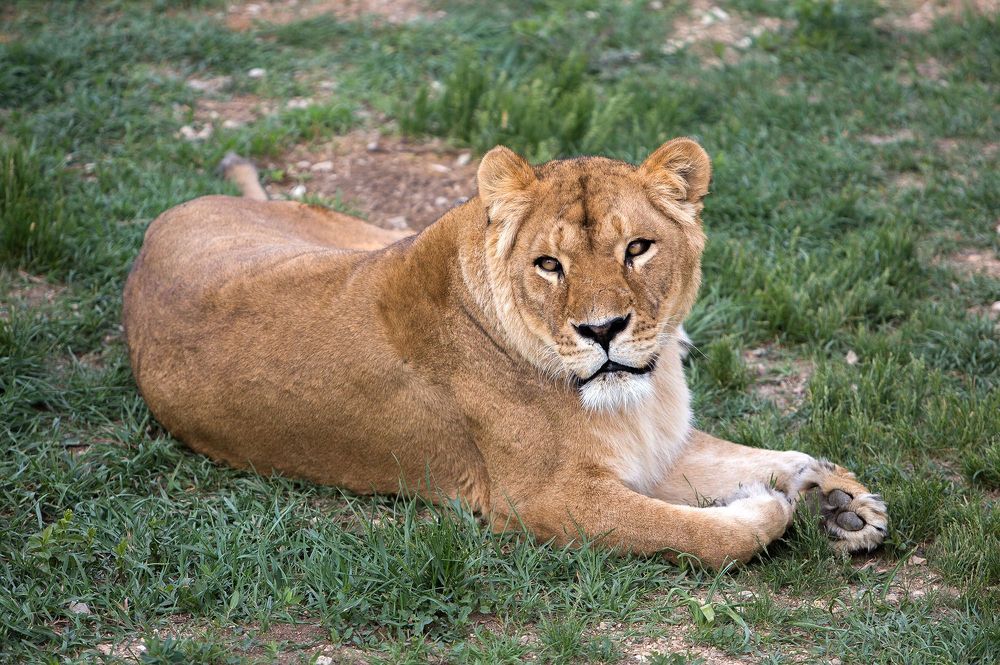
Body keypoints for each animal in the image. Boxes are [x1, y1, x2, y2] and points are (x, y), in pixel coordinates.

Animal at [122, 138, 887, 568]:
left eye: (638, 247)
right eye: (549, 264)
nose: (604, 330)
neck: (645, 389)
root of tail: (168, 217)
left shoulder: (653, 447)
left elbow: (749, 455)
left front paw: (840, 498)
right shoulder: (545, 498)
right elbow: (695, 532)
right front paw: (773, 510)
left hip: (362, 233)